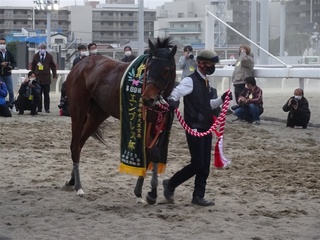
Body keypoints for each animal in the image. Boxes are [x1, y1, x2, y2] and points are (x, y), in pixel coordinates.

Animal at [64, 36, 178, 203]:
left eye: (166, 70)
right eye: (149, 67)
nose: (148, 99)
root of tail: (80, 65)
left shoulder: (154, 124)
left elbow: (151, 154)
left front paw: (142, 192)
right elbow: (152, 153)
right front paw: (150, 193)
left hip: (97, 115)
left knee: (79, 144)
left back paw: (72, 180)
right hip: (78, 112)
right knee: (75, 145)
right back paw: (78, 186)